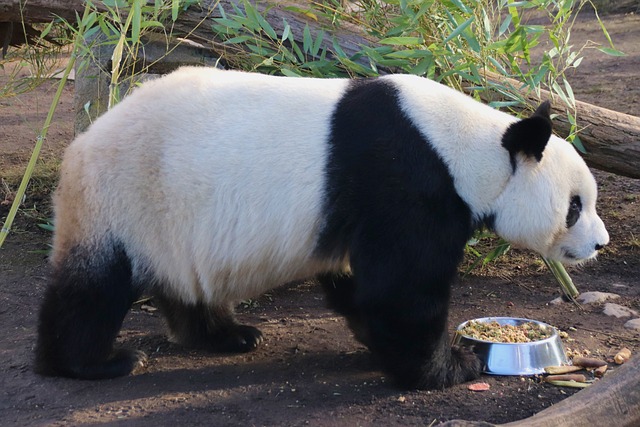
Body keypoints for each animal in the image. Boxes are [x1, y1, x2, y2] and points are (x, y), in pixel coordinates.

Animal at [33, 66, 608, 388]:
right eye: (574, 207)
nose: (599, 244)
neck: (472, 146)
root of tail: (80, 146)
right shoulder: (406, 180)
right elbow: (400, 288)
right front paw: (450, 367)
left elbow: (357, 282)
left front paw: (381, 348)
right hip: (125, 198)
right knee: (93, 287)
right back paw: (90, 363)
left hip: (173, 223)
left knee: (187, 284)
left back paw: (230, 335)